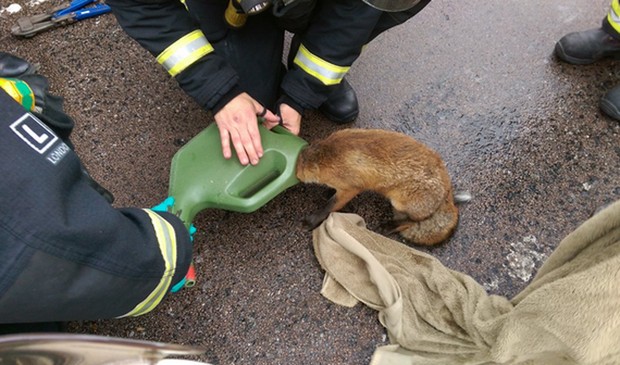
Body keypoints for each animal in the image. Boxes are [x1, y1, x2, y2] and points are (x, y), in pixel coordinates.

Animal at [296, 127, 470, 245]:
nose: (296, 174)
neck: (327, 155)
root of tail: (448, 191)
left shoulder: (351, 187)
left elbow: (329, 206)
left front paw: (311, 221)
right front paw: (328, 192)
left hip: (399, 202)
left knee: (410, 222)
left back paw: (388, 226)